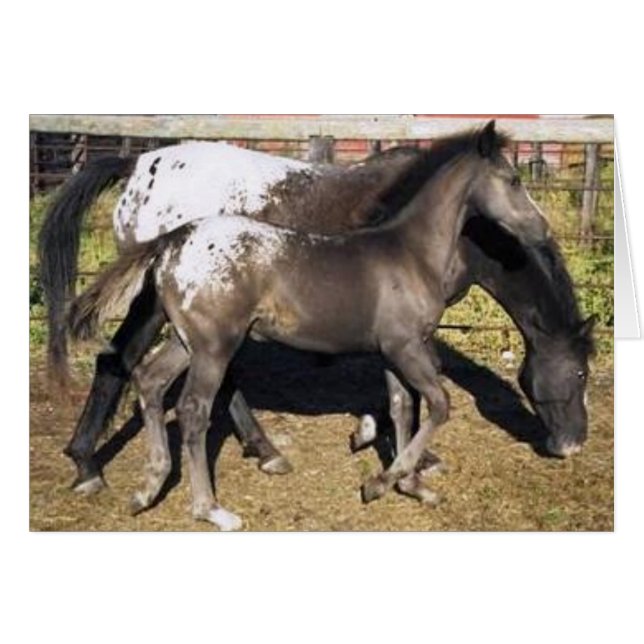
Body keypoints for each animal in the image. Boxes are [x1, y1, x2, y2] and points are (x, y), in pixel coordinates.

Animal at [36, 121, 592, 495]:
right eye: (581, 373)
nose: (573, 445)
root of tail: (135, 167)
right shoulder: (404, 333)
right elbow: (418, 393)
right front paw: (403, 456)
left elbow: (402, 395)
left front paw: (385, 448)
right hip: (166, 307)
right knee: (121, 361)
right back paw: (89, 465)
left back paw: (256, 450)